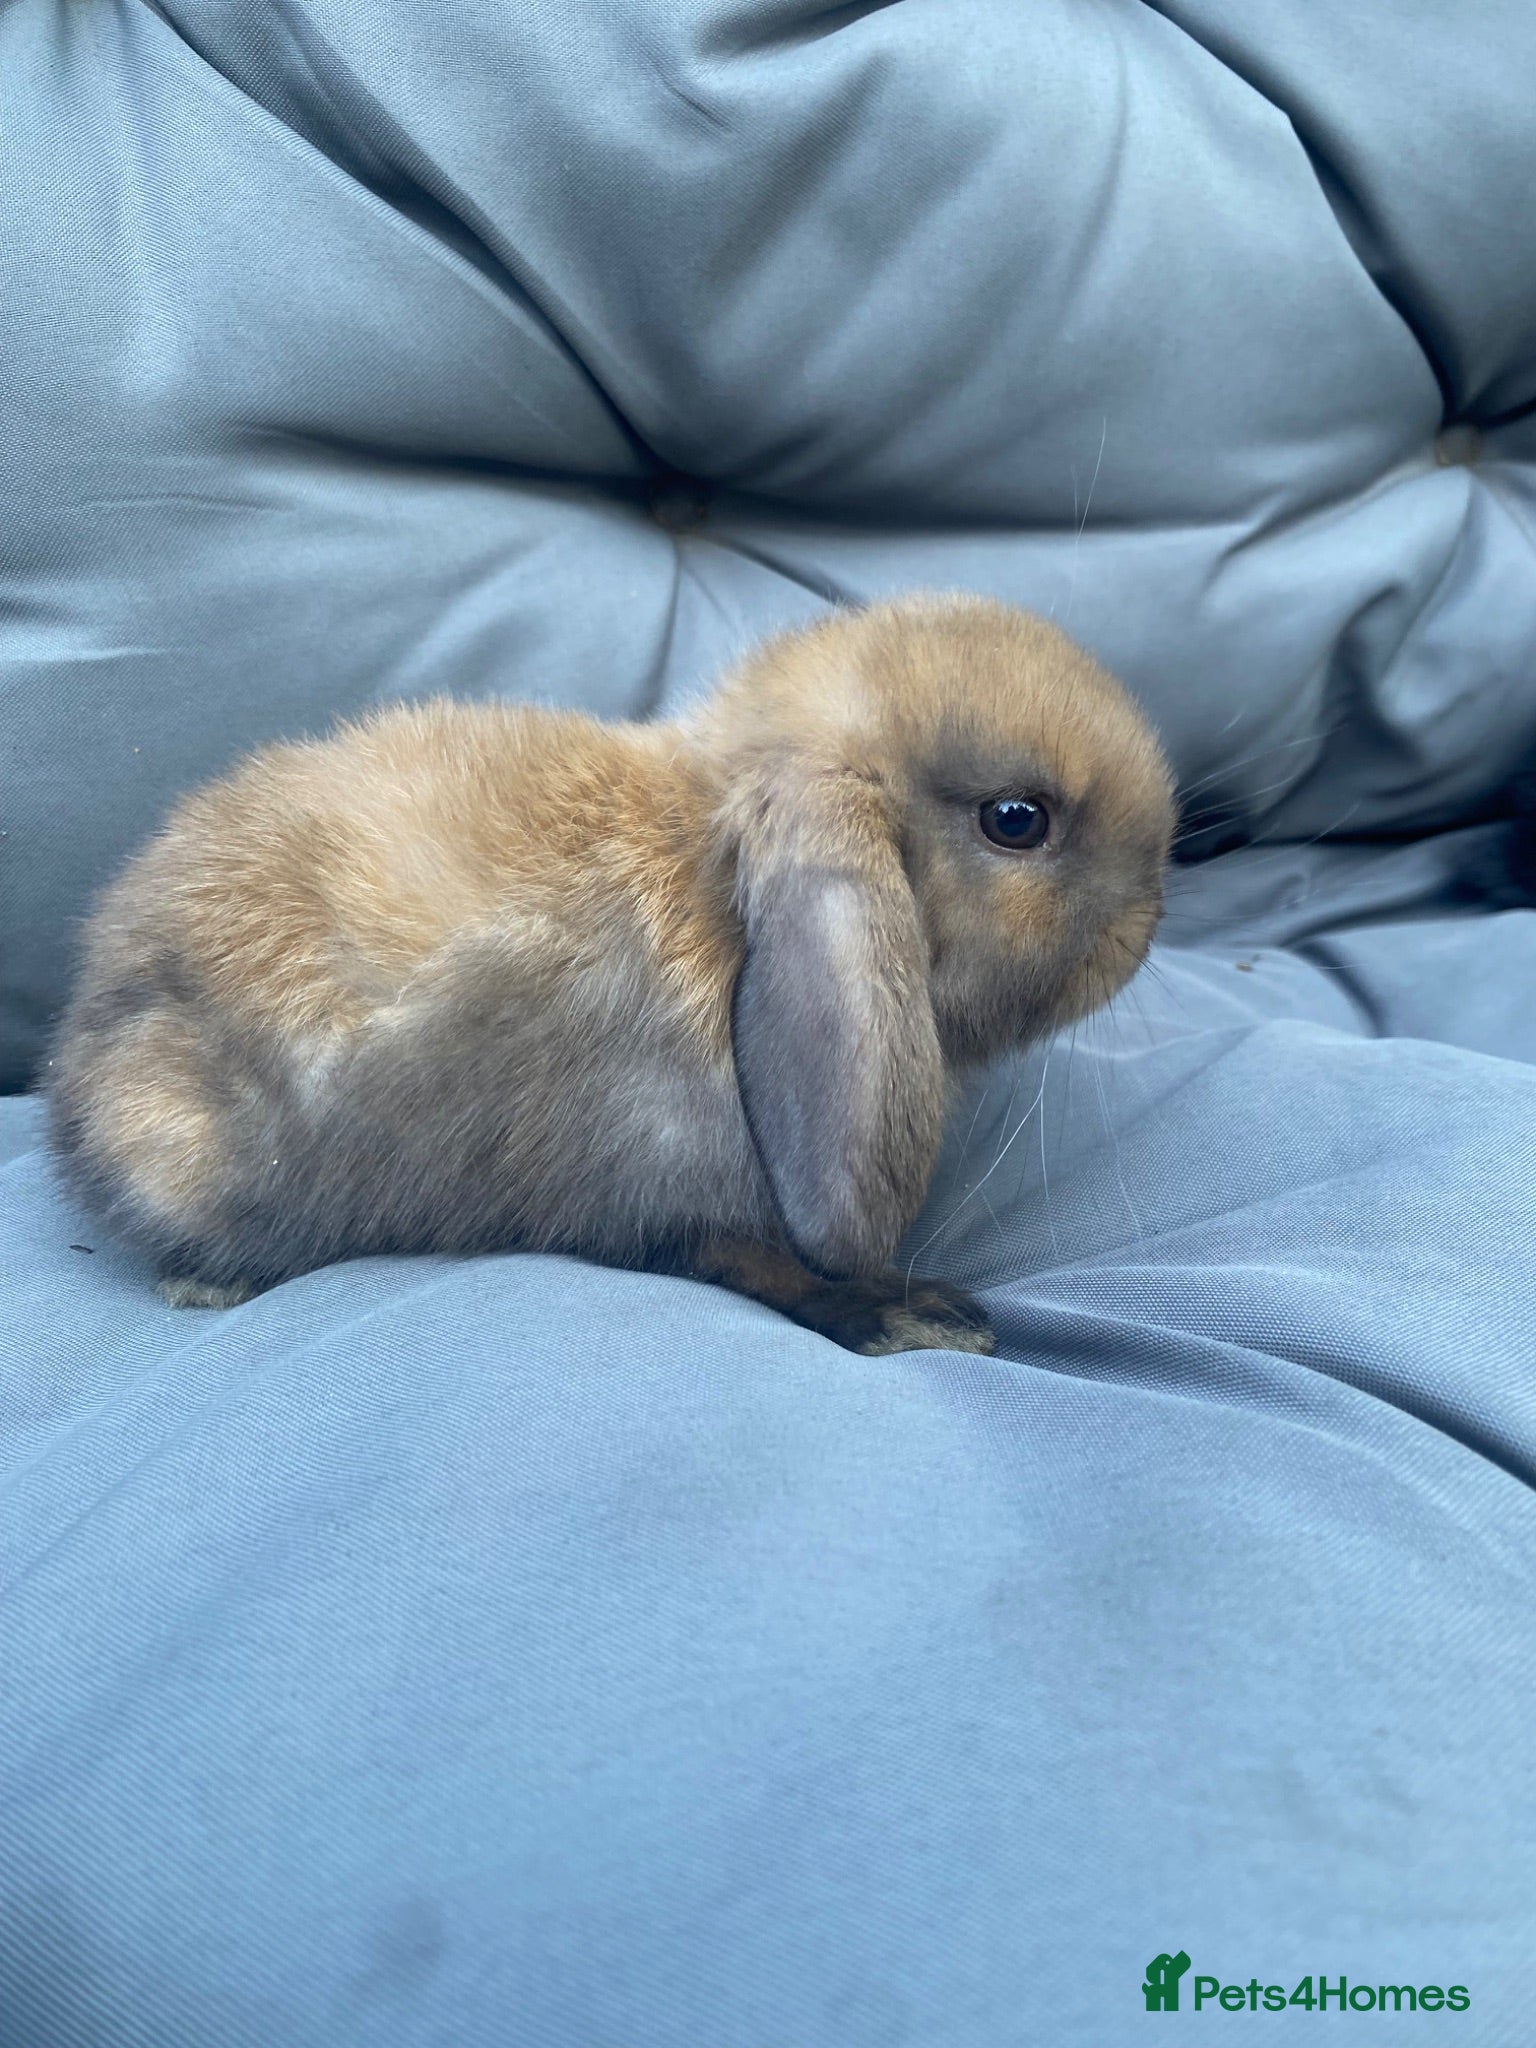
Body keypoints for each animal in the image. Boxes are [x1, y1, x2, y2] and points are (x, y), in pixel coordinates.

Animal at [46, 593, 1175, 1355]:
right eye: (1016, 820)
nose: (1149, 922)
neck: (719, 896)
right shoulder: (673, 1196)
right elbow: (758, 1265)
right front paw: (924, 1316)